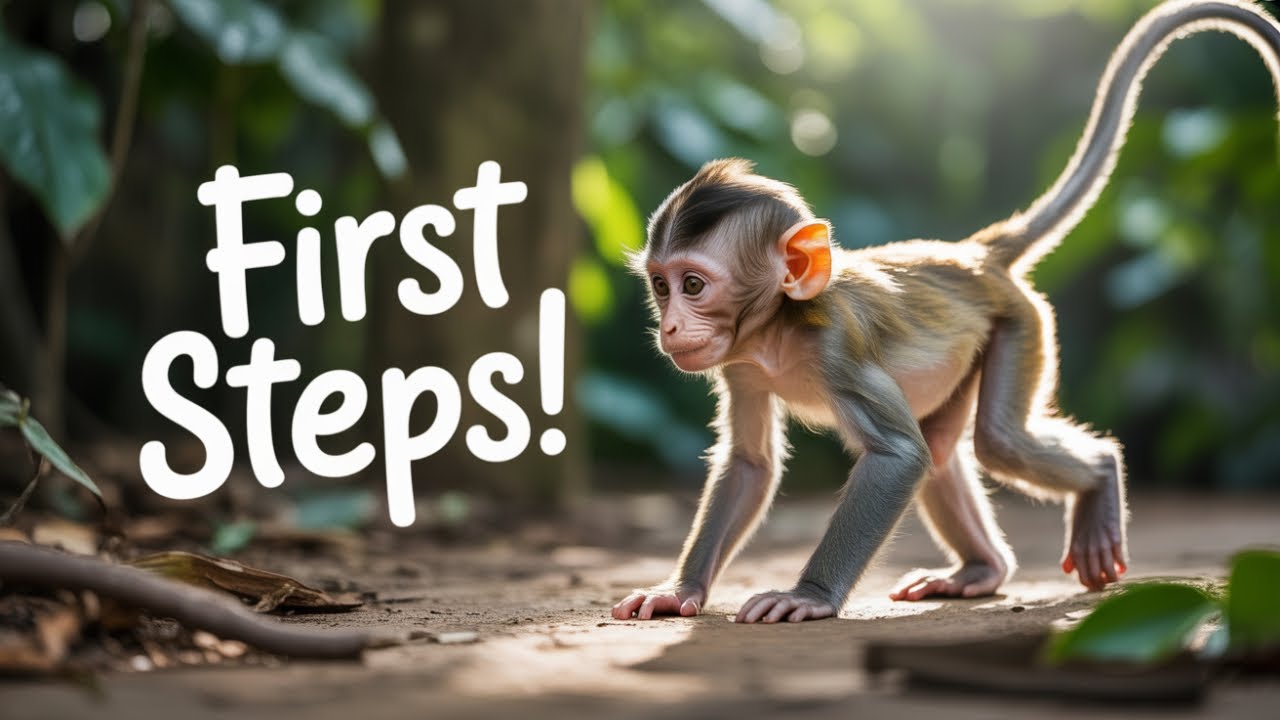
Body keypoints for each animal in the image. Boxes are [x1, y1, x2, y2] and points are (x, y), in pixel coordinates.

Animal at [611, 0, 1280, 624]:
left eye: (693, 284)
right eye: (660, 287)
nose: (670, 325)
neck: (777, 328)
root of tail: (974, 255)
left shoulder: (836, 348)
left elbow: (895, 459)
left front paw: (808, 596)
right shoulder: (741, 365)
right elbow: (751, 464)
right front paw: (679, 590)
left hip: (1021, 323)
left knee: (997, 442)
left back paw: (1098, 476)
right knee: (941, 450)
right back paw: (980, 571)